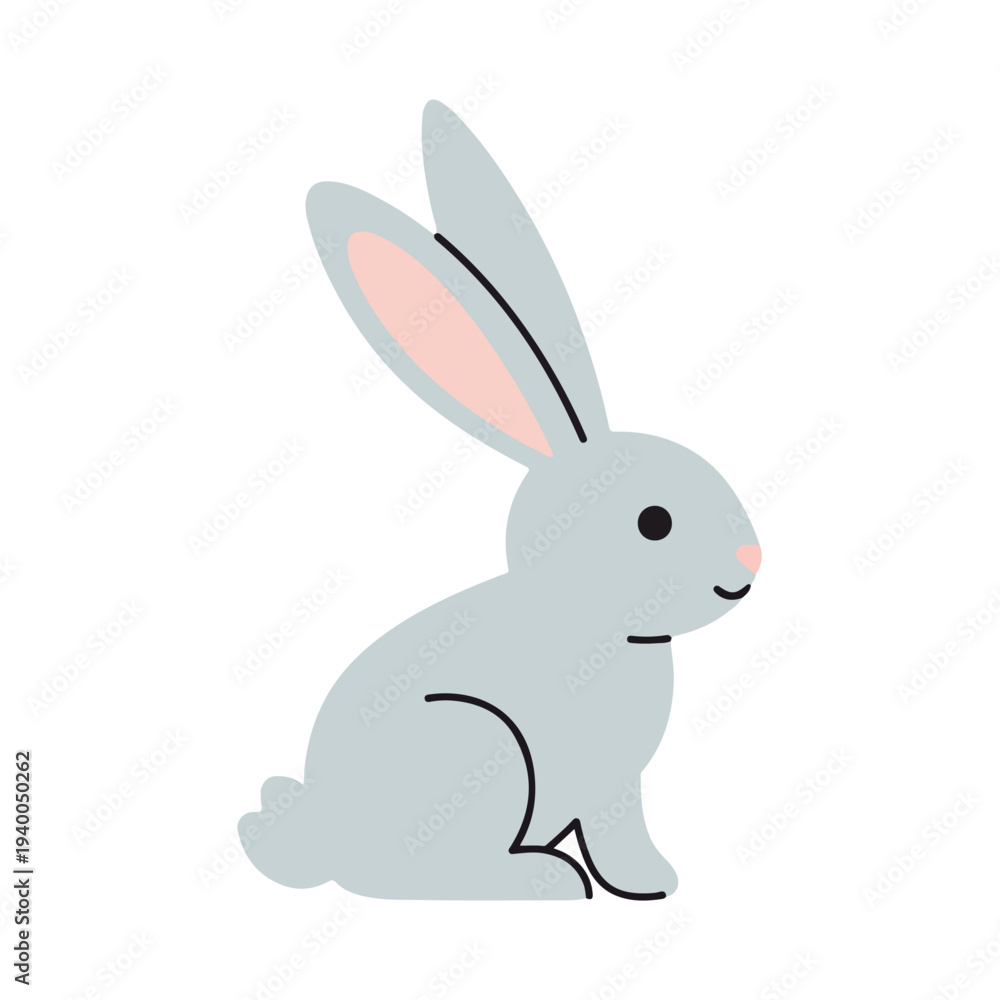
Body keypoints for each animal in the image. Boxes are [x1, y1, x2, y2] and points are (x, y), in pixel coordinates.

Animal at [238, 100, 761, 900]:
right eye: (654, 522)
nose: (749, 560)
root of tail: (324, 839)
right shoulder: (604, 786)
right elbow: (611, 836)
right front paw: (642, 885)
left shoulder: (619, 787)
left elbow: (625, 835)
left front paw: (653, 881)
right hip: (482, 750)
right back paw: (544, 879)